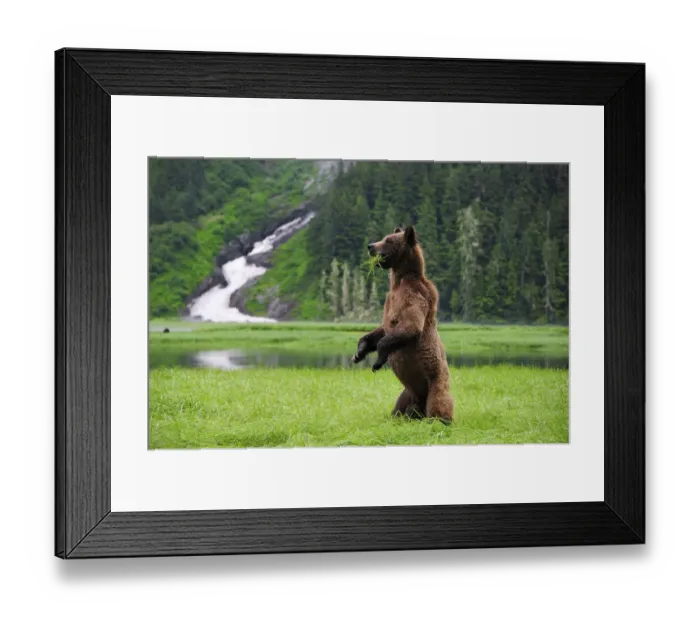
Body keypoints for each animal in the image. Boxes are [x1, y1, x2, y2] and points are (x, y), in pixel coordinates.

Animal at [351, 225, 454, 423]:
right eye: (384, 237)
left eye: (388, 240)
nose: (370, 246)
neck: (399, 280)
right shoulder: (390, 299)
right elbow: (382, 330)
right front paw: (359, 352)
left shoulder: (413, 295)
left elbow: (410, 326)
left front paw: (378, 361)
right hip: (407, 392)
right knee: (400, 406)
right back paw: (401, 416)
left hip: (436, 380)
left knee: (440, 400)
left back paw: (441, 420)